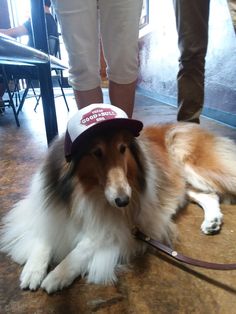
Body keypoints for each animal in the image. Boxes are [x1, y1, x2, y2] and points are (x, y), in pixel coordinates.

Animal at [0, 104, 236, 294]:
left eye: (123, 148)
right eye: (96, 152)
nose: (123, 201)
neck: (84, 190)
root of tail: (190, 125)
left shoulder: (123, 225)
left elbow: (85, 246)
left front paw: (58, 274)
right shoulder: (47, 205)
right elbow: (46, 231)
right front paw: (33, 270)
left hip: (197, 168)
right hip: (184, 182)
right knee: (209, 195)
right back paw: (212, 221)